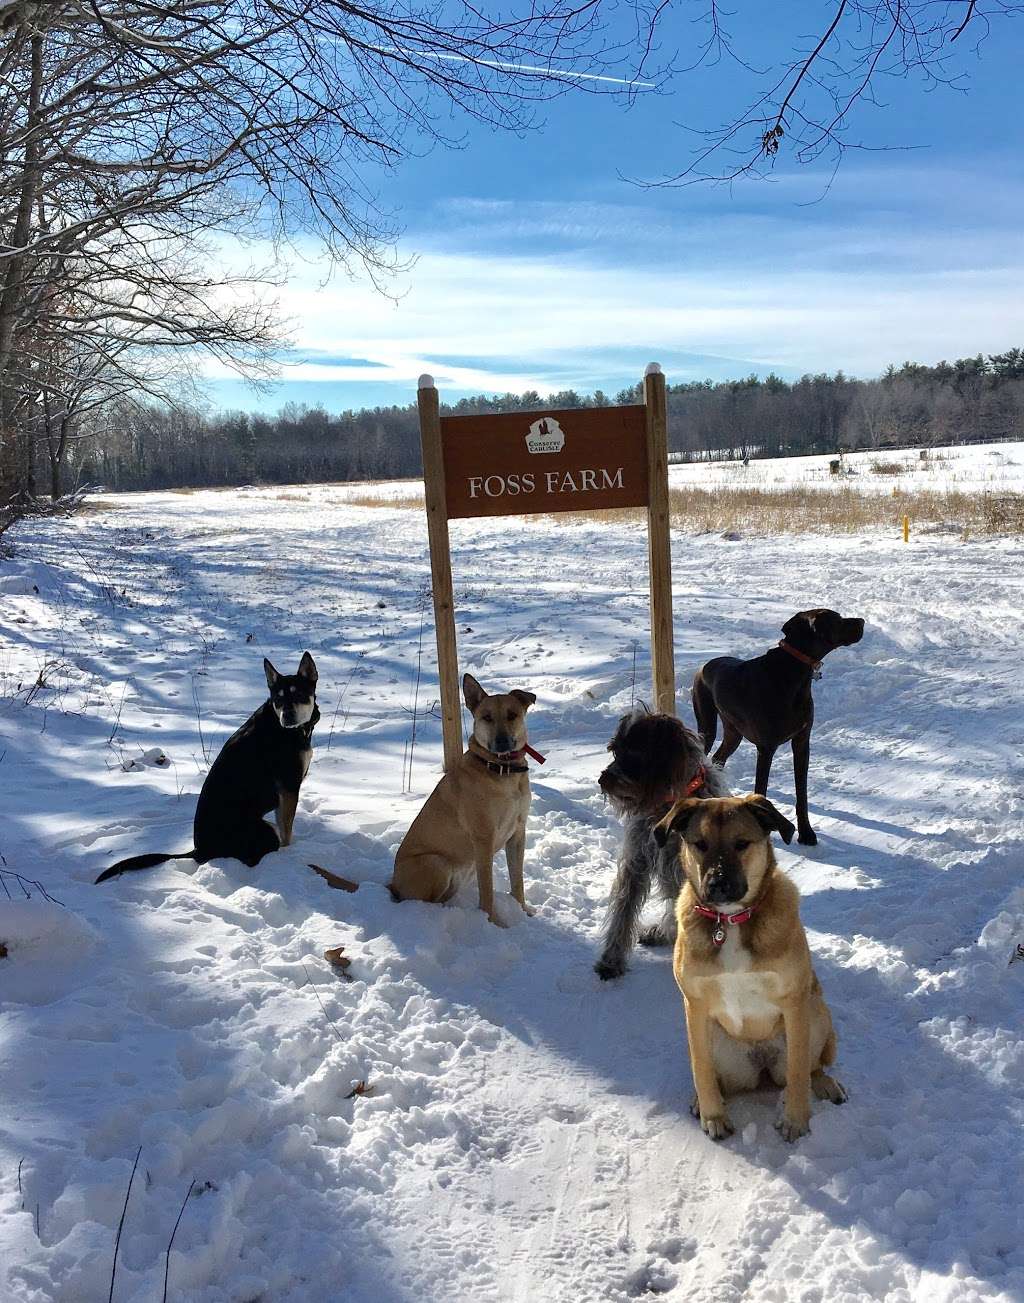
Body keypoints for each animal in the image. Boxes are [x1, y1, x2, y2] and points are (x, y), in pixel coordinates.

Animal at [97, 651, 319, 886]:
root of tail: (199, 850)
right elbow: (287, 832)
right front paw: (292, 855)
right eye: (278, 699)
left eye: (299, 695)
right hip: (266, 831)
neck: (288, 730)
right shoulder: (289, 788)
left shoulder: (284, 793)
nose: (287, 716)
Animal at [388, 672, 541, 927]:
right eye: (486, 717)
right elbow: (487, 891)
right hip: (436, 863)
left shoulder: (518, 833)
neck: (503, 771)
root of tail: (392, 883)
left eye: (512, 714)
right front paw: (493, 923)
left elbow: (517, 880)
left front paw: (522, 910)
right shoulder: (483, 838)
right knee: (420, 901)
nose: (502, 742)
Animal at [591, 714, 724, 979]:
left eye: (634, 753)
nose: (602, 780)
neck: (668, 807)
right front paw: (611, 960)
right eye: (615, 751)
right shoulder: (636, 863)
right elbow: (623, 914)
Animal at [654, 792, 844, 1141]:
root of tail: (762, 1064)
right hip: (720, 1046)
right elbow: (701, 1069)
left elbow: (799, 1072)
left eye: (741, 843)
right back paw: (703, 1101)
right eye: (700, 844)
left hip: (816, 1014)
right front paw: (713, 1116)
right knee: (716, 1076)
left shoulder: (794, 1002)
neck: (730, 921)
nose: (717, 883)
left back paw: (824, 1083)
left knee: (810, 1068)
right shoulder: (695, 1006)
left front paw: (795, 1120)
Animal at [687, 609, 859, 844]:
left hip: (733, 733)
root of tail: (703, 665)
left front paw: (806, 833)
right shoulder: (766, 748)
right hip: (707, 726)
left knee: (718, 759)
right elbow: (762, 789)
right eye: (837, 620)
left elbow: (802, 794)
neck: (794, 674)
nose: (862, 621)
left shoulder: (802, 743)